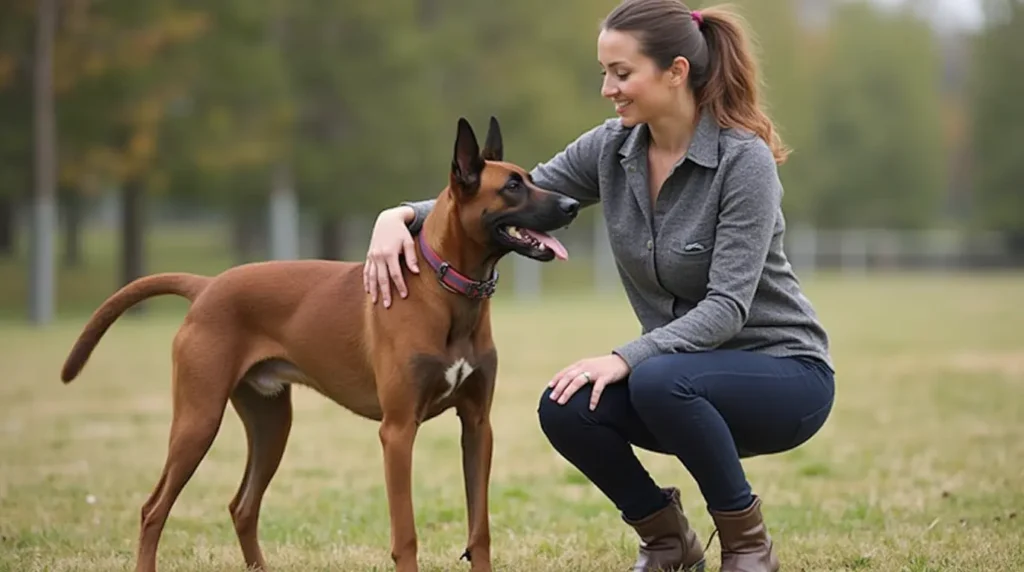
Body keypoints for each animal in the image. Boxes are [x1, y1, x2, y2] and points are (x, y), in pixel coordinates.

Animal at [59, 117, 581, 572]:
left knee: (242, 506)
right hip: (198, 419)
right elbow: (406, 534)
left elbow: (480, 529)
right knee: (154, 509)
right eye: (512, 186)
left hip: (271, 423)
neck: (446, 289)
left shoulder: (477, 425)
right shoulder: (397, 431)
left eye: (531, 178)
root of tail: (206, 286)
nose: (572, 205)